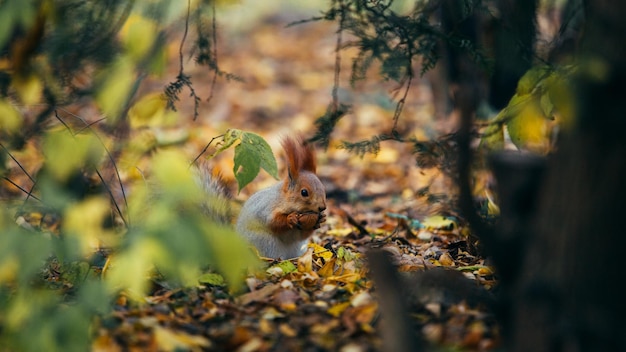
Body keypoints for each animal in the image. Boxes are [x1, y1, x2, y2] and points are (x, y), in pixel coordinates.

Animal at [197, 136, 326, 260]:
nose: (322, 207)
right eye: (304, 192)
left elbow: (301, 235)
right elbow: (273, 222)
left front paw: (320, 219)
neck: (284, 200)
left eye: (323, 187)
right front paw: (290, 218)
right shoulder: (266, 208)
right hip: (266, 243)